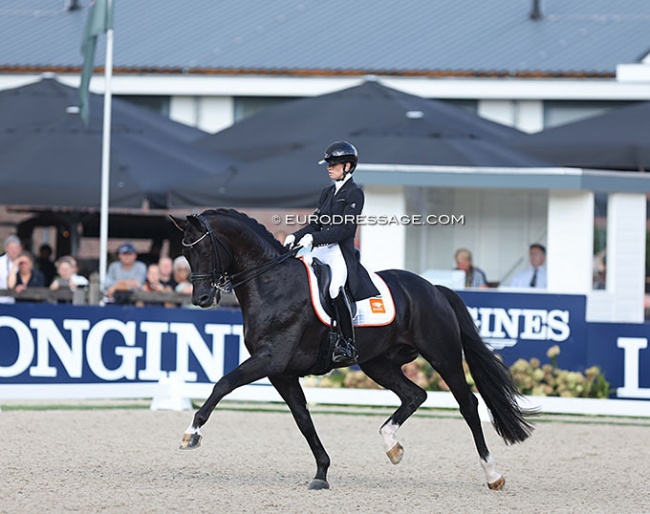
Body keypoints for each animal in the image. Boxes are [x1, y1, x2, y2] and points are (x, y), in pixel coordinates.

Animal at [172, 207, 532, 488]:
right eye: (186, 254)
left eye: (204, 251)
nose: (201, 299)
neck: (272, 283)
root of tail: (433, 288)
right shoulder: (281, 373)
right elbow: (303, 419)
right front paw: (321, 473)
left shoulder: (270, 360)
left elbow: (223, 384)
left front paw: (192, 433)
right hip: (378, 363)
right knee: (415, 394)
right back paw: (391, 444)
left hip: (442, 355)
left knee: (468, 404)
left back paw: (493, 474)